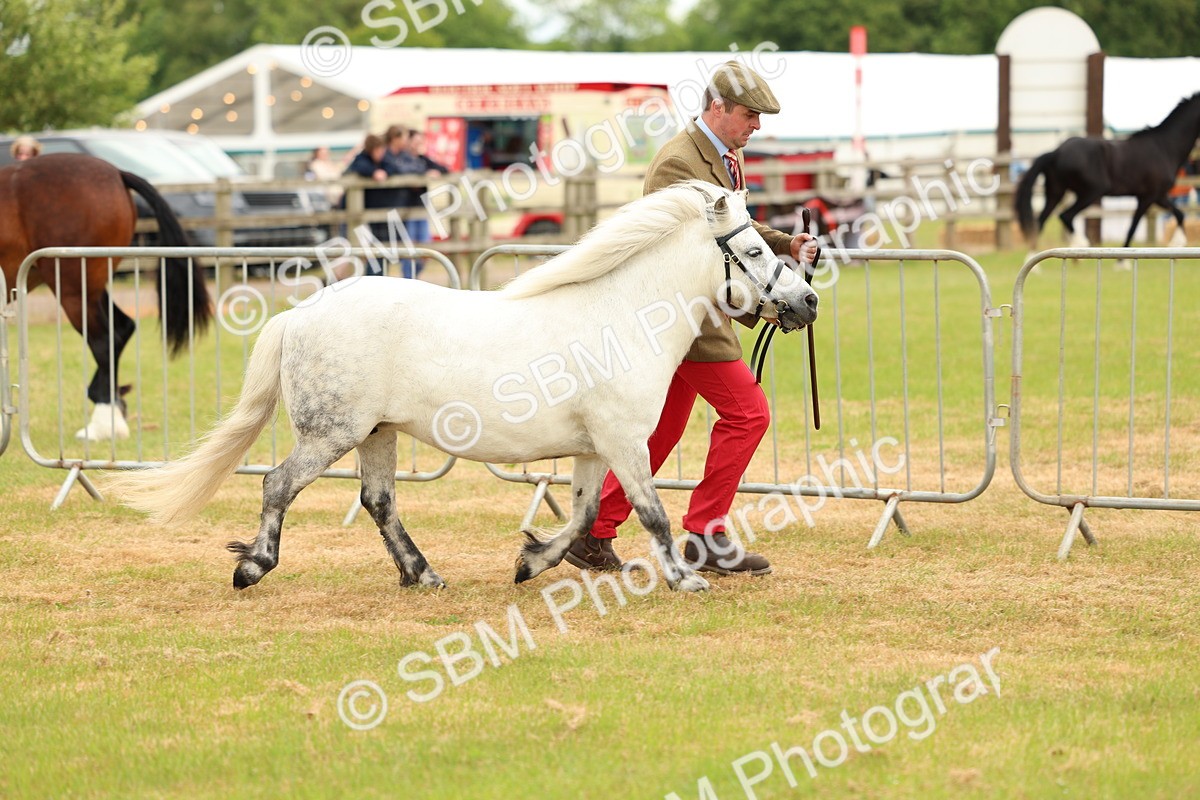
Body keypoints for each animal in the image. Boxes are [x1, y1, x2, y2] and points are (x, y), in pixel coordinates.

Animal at [0, 153, 212, 440]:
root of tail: (115, 173)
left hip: (73, 288)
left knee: (103, 340)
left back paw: (104, 422)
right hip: (92, 286)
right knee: (122, 328)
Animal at [111, 182, 820, 593]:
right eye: (756, 252)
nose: (807, 301)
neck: (621, 315)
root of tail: (302, 313)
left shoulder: (594, 448)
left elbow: (585, 510)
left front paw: (532, 563)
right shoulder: (622, 441)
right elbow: (651, 512)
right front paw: (682, 580)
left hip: (377, 434)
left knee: (379, 502)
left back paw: (421, 574)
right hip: (330, 433)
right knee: (278, 485)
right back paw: (252, 566)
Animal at [1016, 92, 1200, 250]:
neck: (1164, 147)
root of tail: (1057, 152)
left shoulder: (1158, 195)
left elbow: (1180, 214)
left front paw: (1177, 242)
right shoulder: (1147, 197)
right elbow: (1132, 227)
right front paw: (1122, 262)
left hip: (1055, 193)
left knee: (1040, 223)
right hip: (1091, 192)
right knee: (1065, 216)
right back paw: (1081, 245)